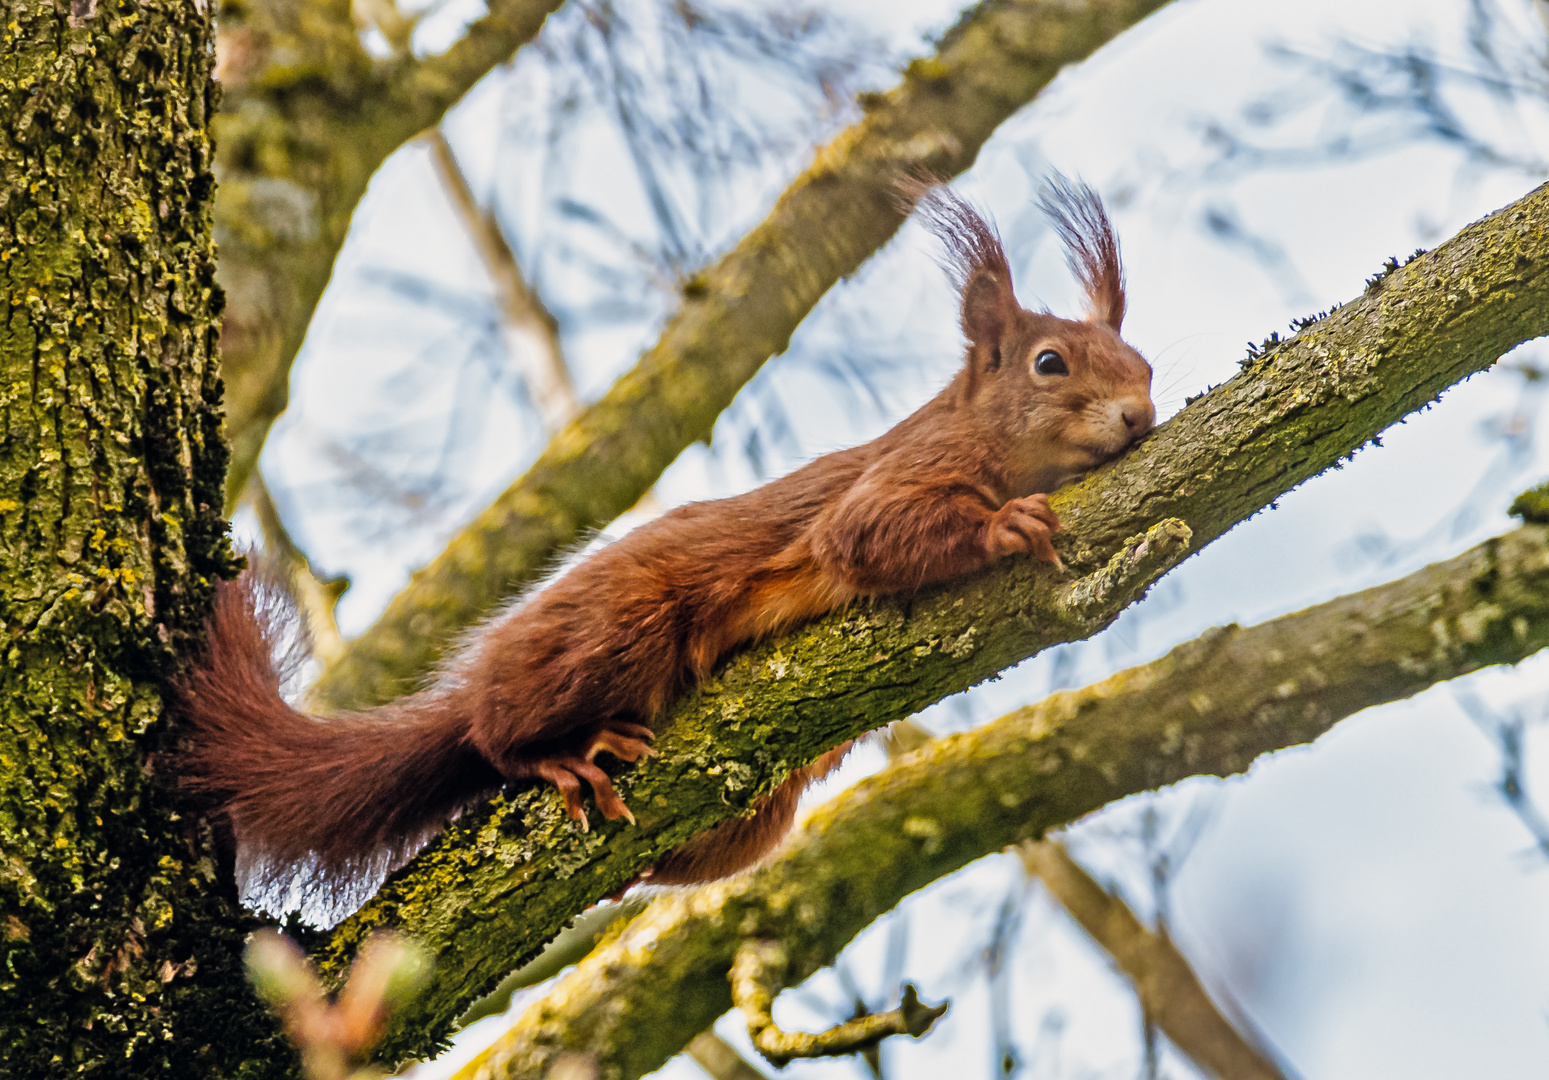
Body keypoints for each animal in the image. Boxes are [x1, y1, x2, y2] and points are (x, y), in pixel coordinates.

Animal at [178, 181, 1152, 892]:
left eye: (1142, 364)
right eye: (1049, 363)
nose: (1140, 414)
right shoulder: (896, 474)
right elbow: (863, 535)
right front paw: (1005, 524)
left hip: (753, 817)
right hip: (619, 627)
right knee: (493, 735)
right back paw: (553, 756)